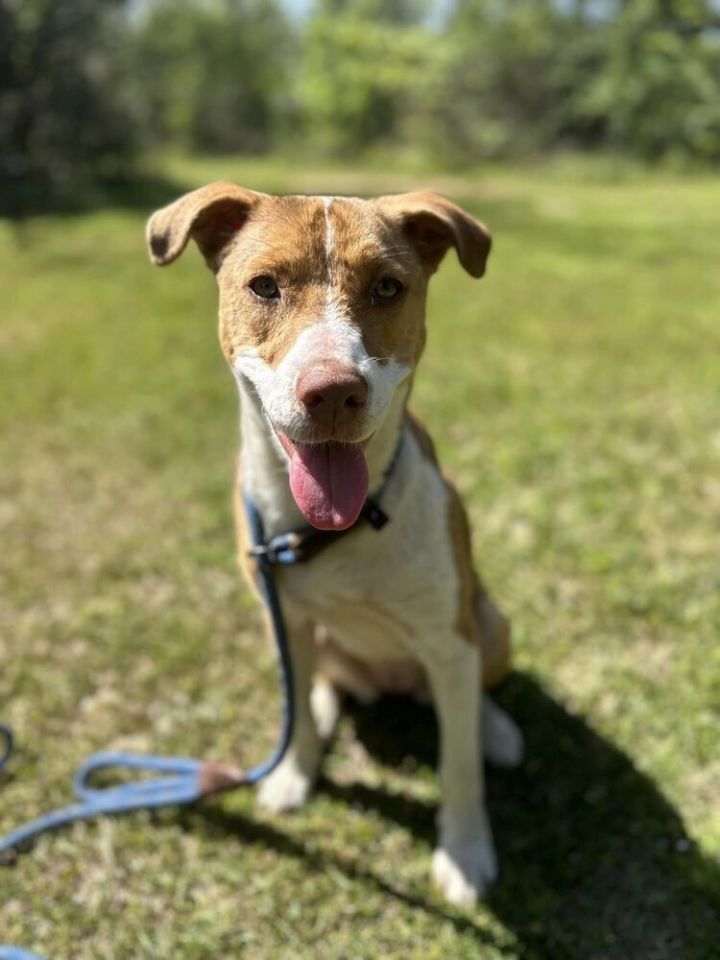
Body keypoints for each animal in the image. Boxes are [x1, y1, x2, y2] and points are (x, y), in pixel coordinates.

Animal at [146, 182, 524, 908]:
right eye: (264, 286)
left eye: (388, 287)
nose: (332, 392)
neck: (336, 530)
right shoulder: (282, 613)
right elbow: (293, 708)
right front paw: (293, 774)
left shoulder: (448, 638)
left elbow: (458, 762)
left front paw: (465, 855)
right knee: (318, 682)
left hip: (489, 623)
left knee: (473, 696)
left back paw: (494, 727)